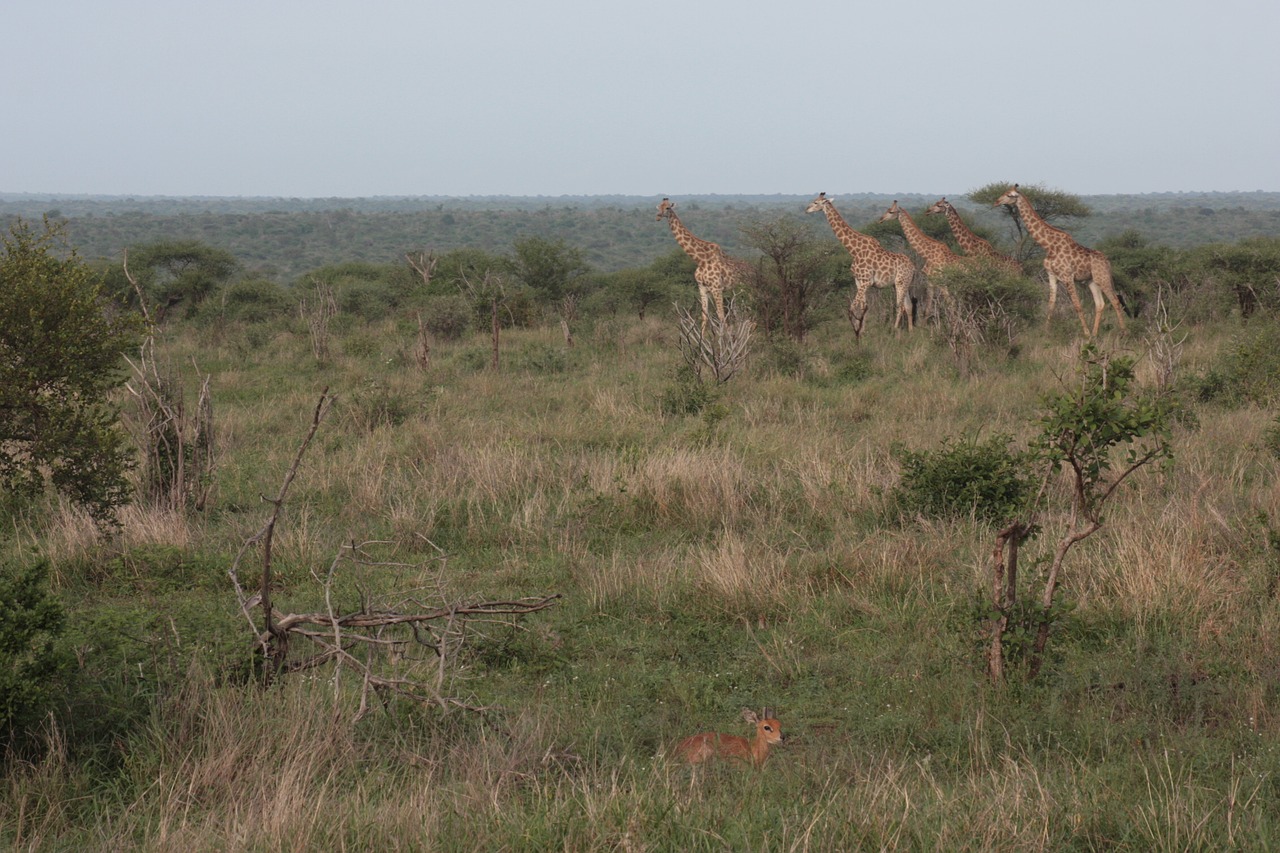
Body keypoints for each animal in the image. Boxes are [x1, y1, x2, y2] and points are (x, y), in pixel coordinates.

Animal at [655, 197, 747, 333]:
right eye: (658, 206)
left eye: (667, 207)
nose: (658, 216)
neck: (701, 259)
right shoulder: (702, 288)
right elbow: (704, 316)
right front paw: (701, 339)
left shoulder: (716, 288)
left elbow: (721, 316)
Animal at [803, 192, 916, 338]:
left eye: (816, 202)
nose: (806, 209)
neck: (854, 250)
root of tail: (913, 268)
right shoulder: (859, 281)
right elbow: (863, 307)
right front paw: (862, 331)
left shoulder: (866, 281)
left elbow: (852, 307)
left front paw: (856, 331)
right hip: (904, 283)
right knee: (908, 305)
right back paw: (911, 332)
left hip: (900, 283)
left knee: (900, 306)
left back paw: (895, 330)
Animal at [993, 183, 1126, 335]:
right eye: (1004, 192)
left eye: (1009, 195)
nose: (996, 202)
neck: (1048, 245)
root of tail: (1108, 262)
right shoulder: (1051, 275)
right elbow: (1051, 305)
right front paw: (1045, 332)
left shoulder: (1067, 276)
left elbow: (1077, 305)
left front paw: (1085, 334)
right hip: (1092, 281)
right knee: (1100, 304)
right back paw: (1095, 334)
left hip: (1103, 278)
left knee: (1115, 301)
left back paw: (1124, 332)